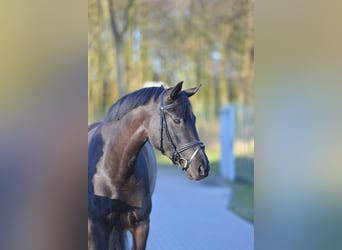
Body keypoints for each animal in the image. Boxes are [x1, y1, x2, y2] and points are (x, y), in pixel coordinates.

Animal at [88, 81, 208, 249]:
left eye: (194, 119)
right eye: (177, 120)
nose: (202, 166)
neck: (113, 171)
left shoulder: (141, 226)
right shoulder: (96, 228)